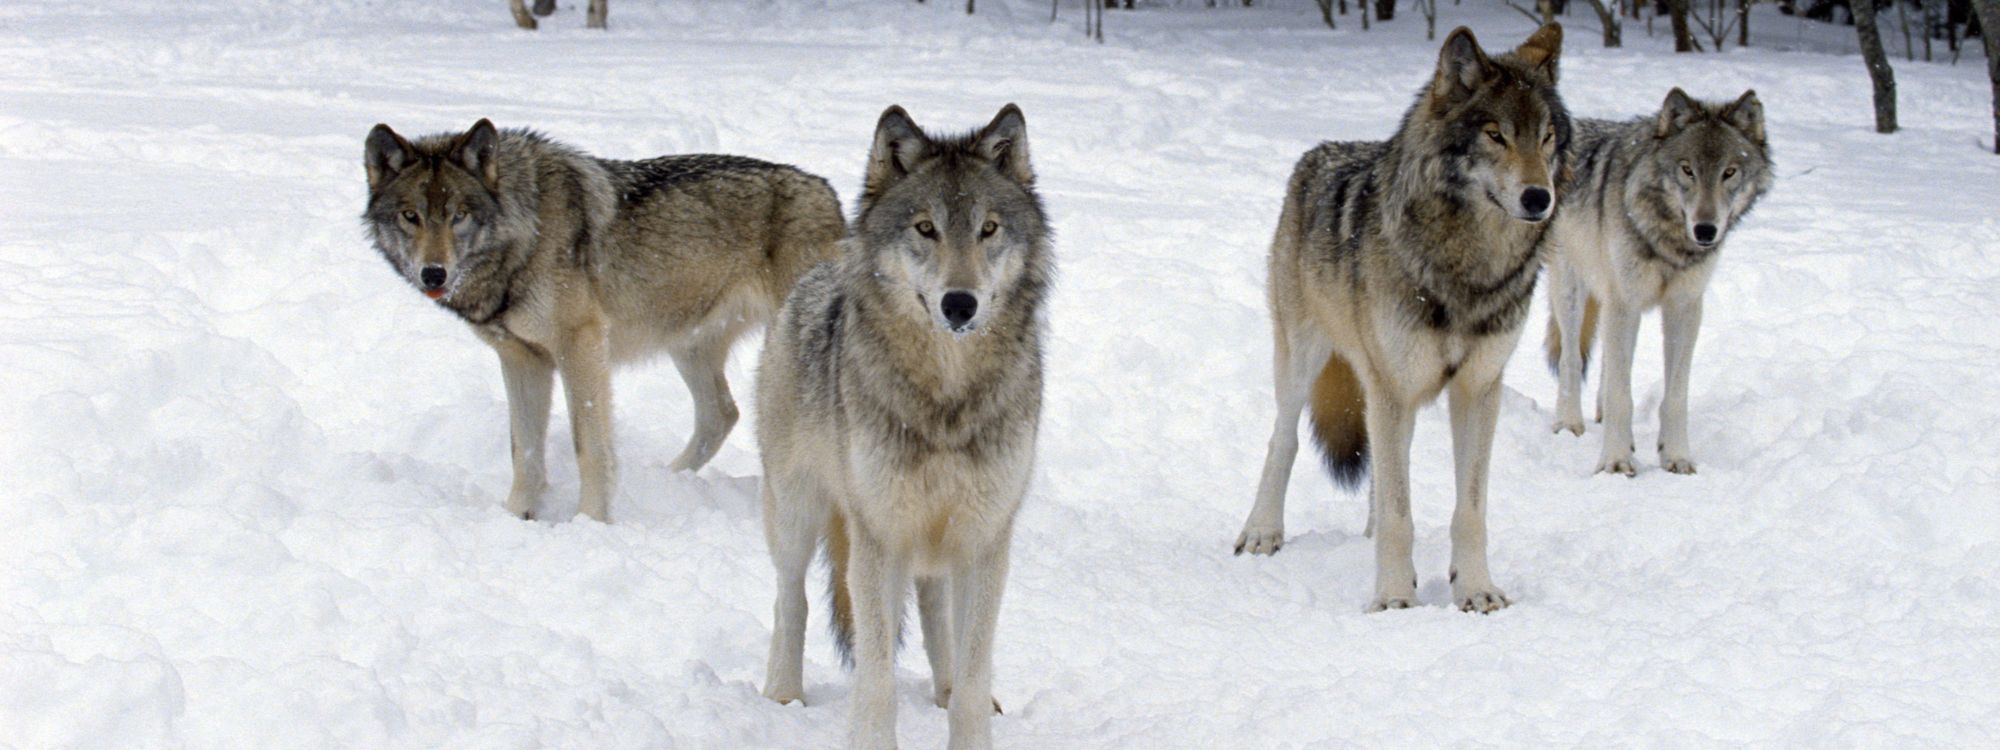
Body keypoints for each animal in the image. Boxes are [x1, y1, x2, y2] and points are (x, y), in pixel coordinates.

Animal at [364, 120, 840, 524]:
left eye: (459, 215)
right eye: (411, 216)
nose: (433, 274)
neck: (525, 234)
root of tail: (828, 193)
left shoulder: (581, 346)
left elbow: (589, 447)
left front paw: (590, 521)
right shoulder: (522, 359)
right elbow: (524, 450)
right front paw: (517, 516)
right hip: (688, 346)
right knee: (721, 414)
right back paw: (669, 479)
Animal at [756, 101, 1056, 750]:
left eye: (988, 229)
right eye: (925, 229)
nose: (960, 304)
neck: (946, 399)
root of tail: (815, 272)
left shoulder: (984, 539)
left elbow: (972, 675)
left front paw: (965, 715)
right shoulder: (879, 537)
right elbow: (877, 679)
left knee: (936, 610)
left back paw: (940, 688)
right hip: (796, 512)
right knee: (791, 599)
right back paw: (783, 695)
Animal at [1224, 26, 1568, 616]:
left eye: (1546, 138)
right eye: (1496, 135)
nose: (1538, 197)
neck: (1467, 270)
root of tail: (1319, 152)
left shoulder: (1478, 388)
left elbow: (1468, 510)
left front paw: (1474, 589)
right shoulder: (1393, 387)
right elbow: (1399, 515)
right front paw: (1391, 599)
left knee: (1383, 477)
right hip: (1306, 361)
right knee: (1284, 441)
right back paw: (1262, 532)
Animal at [1536, 88, 1776, 476]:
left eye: (1729, 172)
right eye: (1687, 170)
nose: (1705, 230)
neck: (1669, 242)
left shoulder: (1683, 308)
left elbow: (1675, 395)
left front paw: (1676, 457)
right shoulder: (1625, 302)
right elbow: (1621, 394)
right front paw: (1615, 461)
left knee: (1607, 362)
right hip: (1572, 291)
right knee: (1572, 359)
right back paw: (1569, 424)